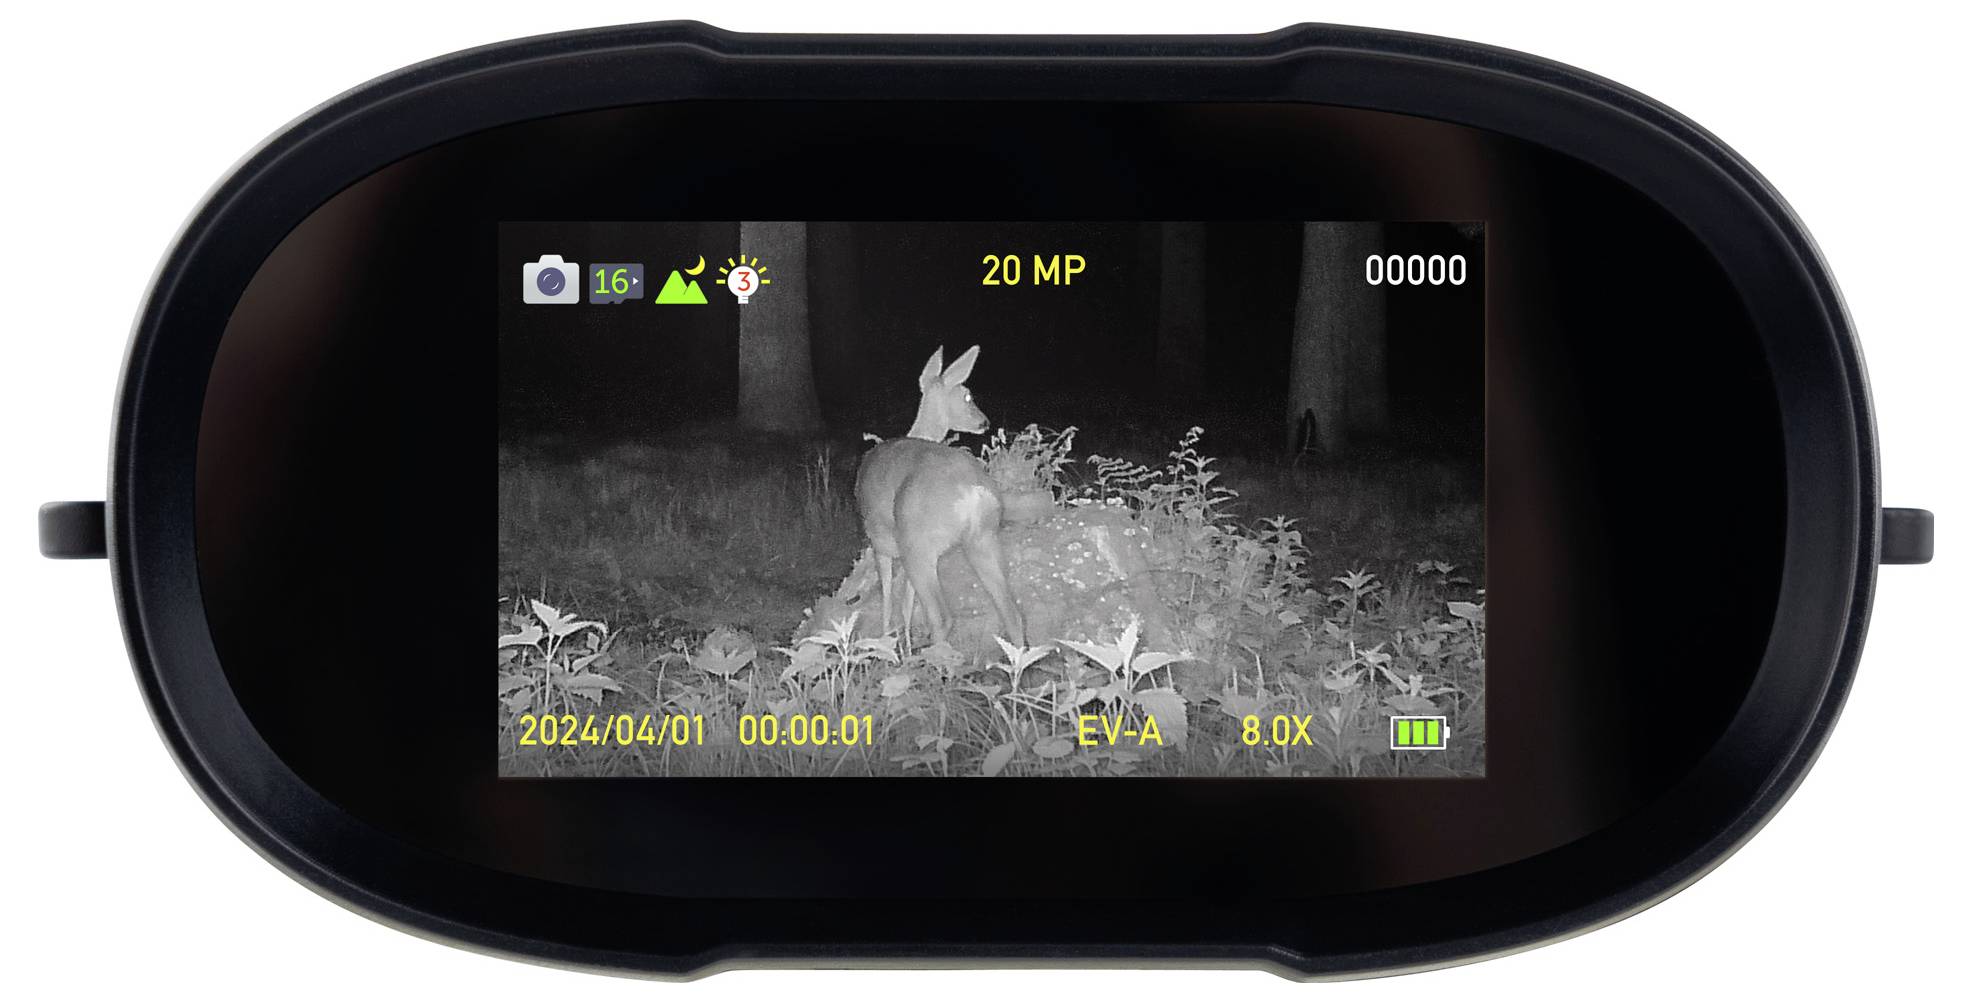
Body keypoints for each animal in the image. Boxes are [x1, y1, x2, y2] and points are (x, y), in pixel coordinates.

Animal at [854, 345, 1026, 649]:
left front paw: (887, 643)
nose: (984, 422)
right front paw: (904, 644)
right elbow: (906, 603)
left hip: (919, 544)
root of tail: (970, 489)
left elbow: (888, 597)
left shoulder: (879, 541)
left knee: (941, 617)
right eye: (967, 396)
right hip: (983, 538)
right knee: (1012, 614)